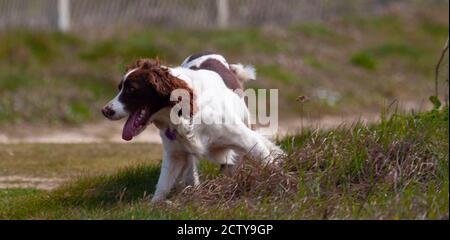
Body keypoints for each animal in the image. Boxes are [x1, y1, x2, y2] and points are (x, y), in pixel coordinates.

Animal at [103, 52, 284, 202]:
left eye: (131, 89)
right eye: (119, 88)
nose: (105, 111)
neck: (185, 113)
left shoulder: (247, 139)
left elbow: (268, 162)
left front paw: (280, 180)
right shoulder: (175, 154)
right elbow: (162, 187)